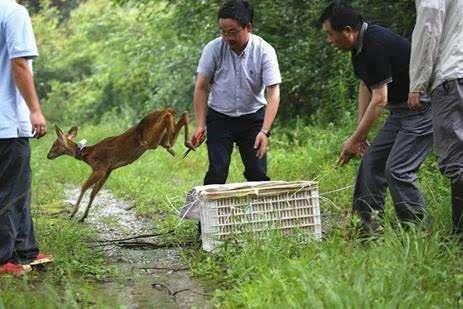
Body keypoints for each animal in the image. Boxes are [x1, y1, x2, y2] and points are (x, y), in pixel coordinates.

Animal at [48, 108, 197, 221]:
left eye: (55, 144)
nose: (48, 155)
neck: (87, 155)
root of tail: (165, 110)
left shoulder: (100, 168)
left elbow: (84, 187)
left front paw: (73, 214)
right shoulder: (108, 170)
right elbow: (94, 192)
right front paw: (83, 216)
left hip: (150, 141)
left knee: (169, 123)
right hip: (157, 139)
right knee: (180, 120)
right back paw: (188, 143)